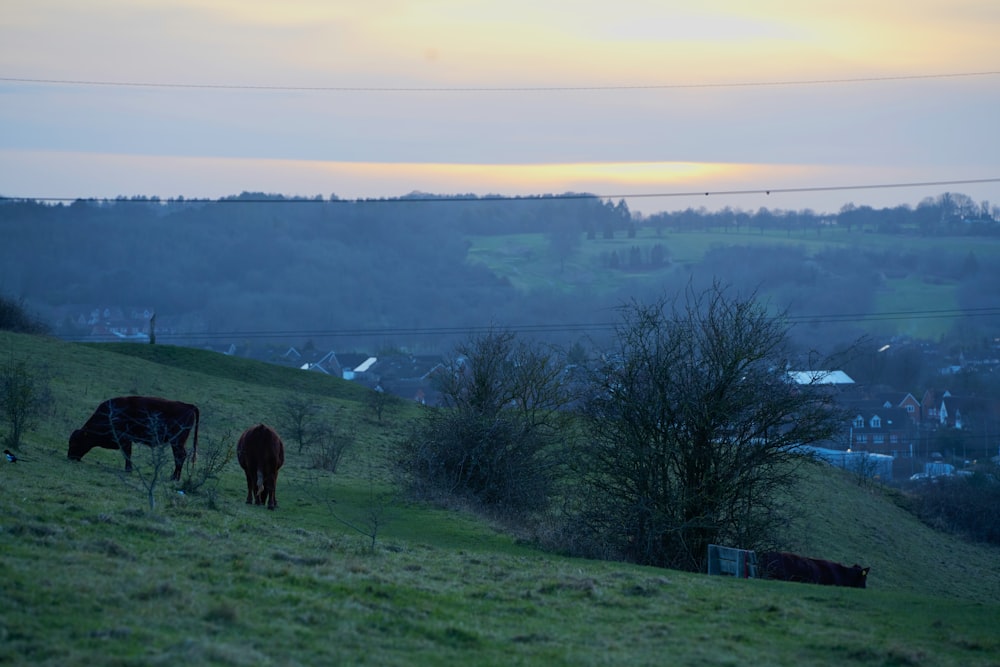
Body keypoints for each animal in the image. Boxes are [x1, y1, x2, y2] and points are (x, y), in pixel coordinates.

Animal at [68, 394, 199, 482]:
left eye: (75, 442)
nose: (70, 457)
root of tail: (189, 406)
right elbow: (127, 454)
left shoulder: (125, 440)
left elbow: (127, 454)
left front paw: (128, 469)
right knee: (180, 456)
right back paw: (175, 477)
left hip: (177, 442)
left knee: (180, 456)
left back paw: (174, 478)